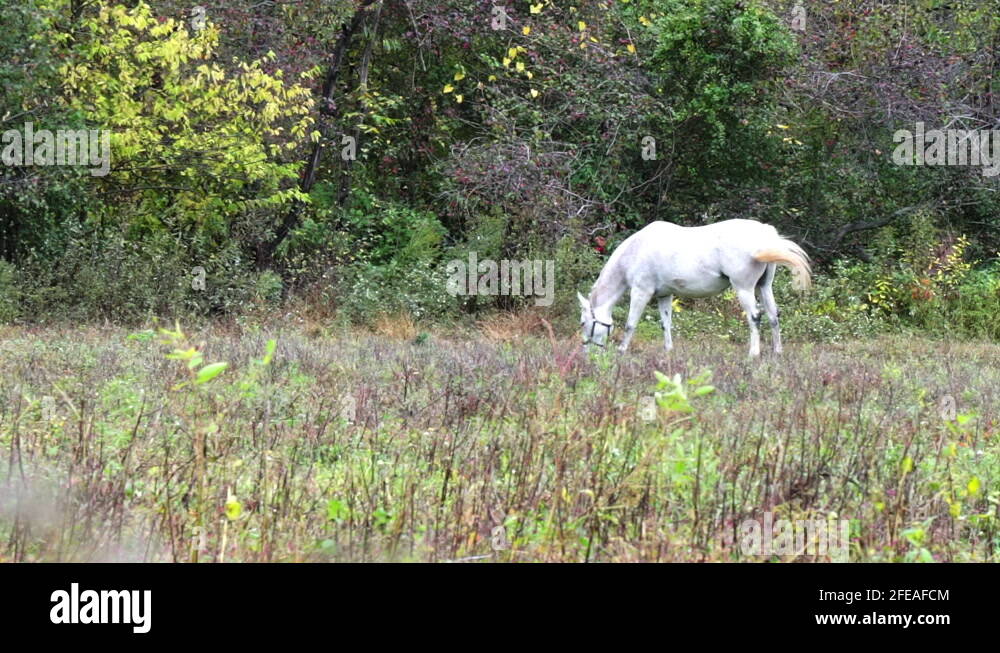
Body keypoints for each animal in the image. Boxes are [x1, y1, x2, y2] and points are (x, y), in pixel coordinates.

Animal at [578, 219, 811, 357]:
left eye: (583, 322)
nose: (586, 353)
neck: (635, 250)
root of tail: (765, 233)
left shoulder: (640, 292)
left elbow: (630, 324)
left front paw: (621, 350)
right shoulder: (664, 295)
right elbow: (666, 324)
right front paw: (668, 351)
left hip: (744, 288)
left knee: (755, 317)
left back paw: (753, 354)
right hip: (764, 287)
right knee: (773, 316)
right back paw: (777, 353)